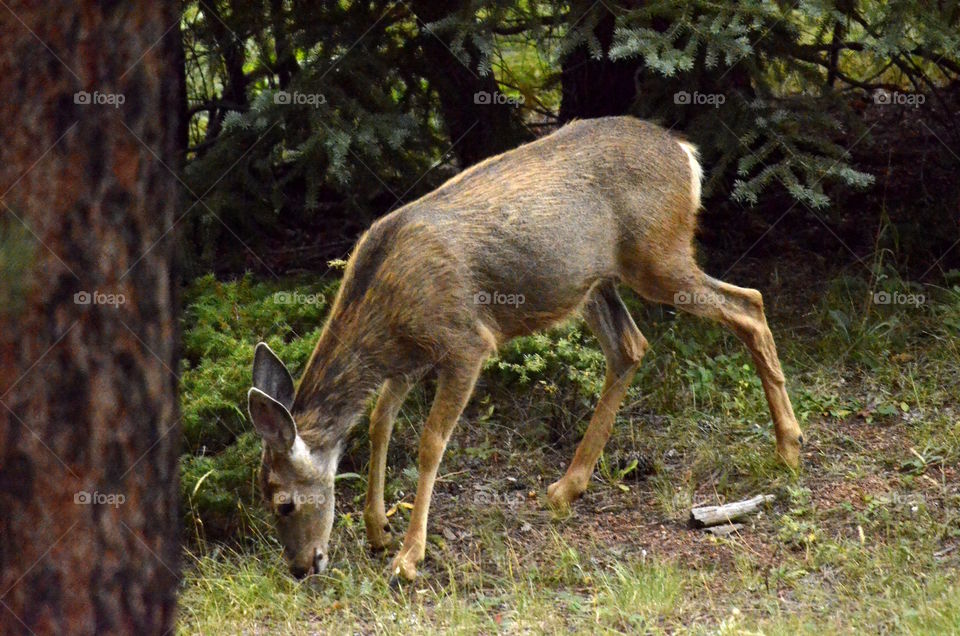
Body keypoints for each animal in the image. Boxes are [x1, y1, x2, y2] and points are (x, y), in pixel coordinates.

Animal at [246, 116, 804, 581]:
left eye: (283, 504)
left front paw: (408, 557)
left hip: (658, 255)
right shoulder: (409, 360)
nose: (301, 567)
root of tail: (686, 154)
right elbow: (380, 423)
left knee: (749, 304)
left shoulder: (466, 342)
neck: (383, 316)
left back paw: (790, 447)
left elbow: (429, 443)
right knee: (630, 346)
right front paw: (378, 530)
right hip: (596, 282)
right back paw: (566, 487)